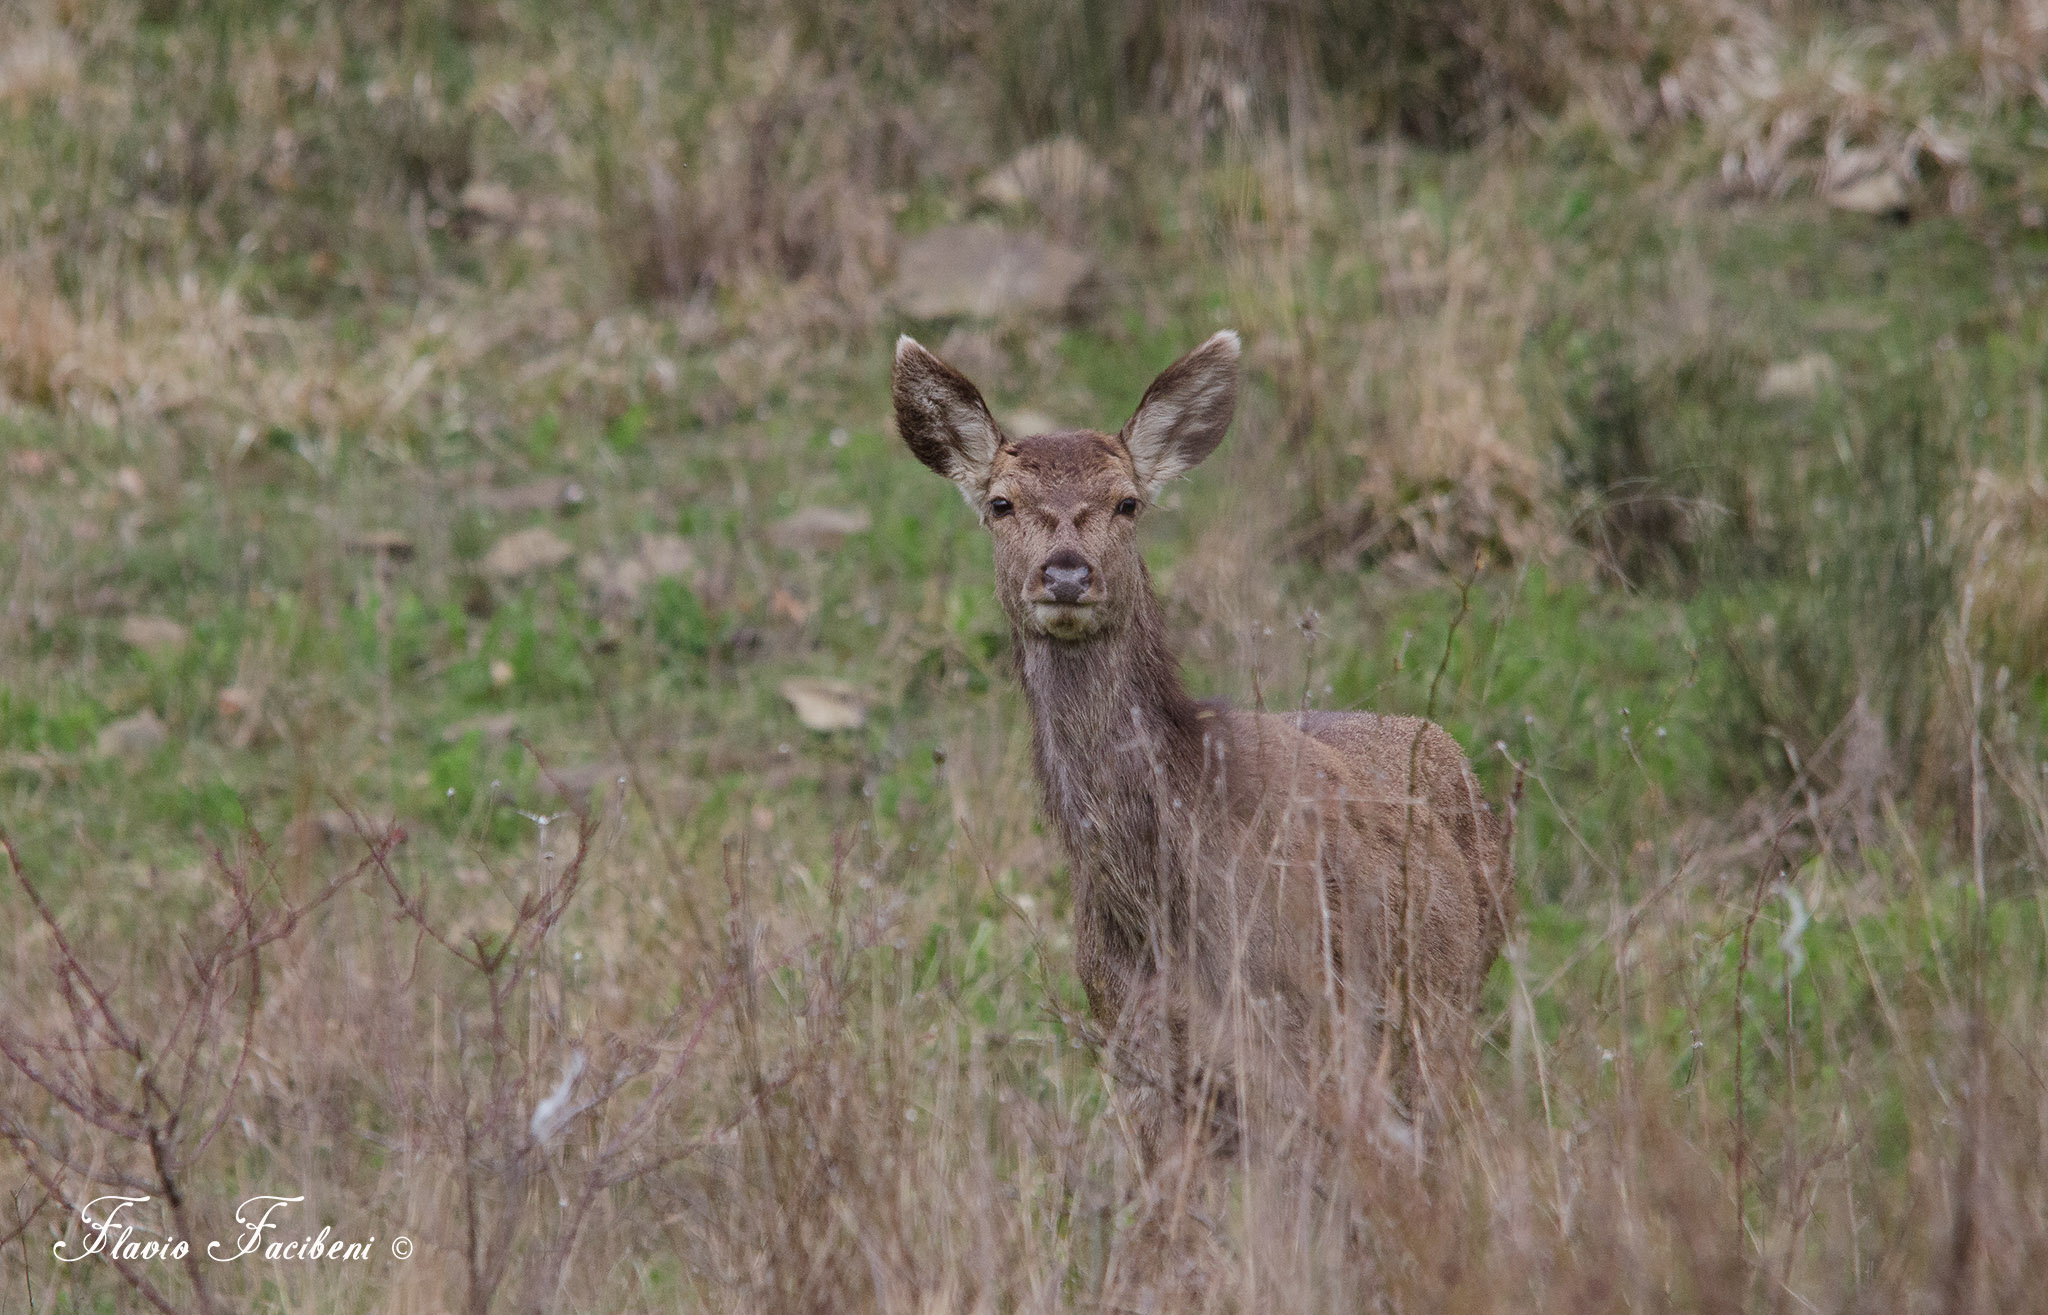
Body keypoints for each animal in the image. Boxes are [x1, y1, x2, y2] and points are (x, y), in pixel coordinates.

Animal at [892, 330, 1515, 1155]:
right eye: (1000, 502)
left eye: (1128, 501)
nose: (1067, 573)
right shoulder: (1138, 1052)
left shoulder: (1295, 1033)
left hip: (1442, 1009)